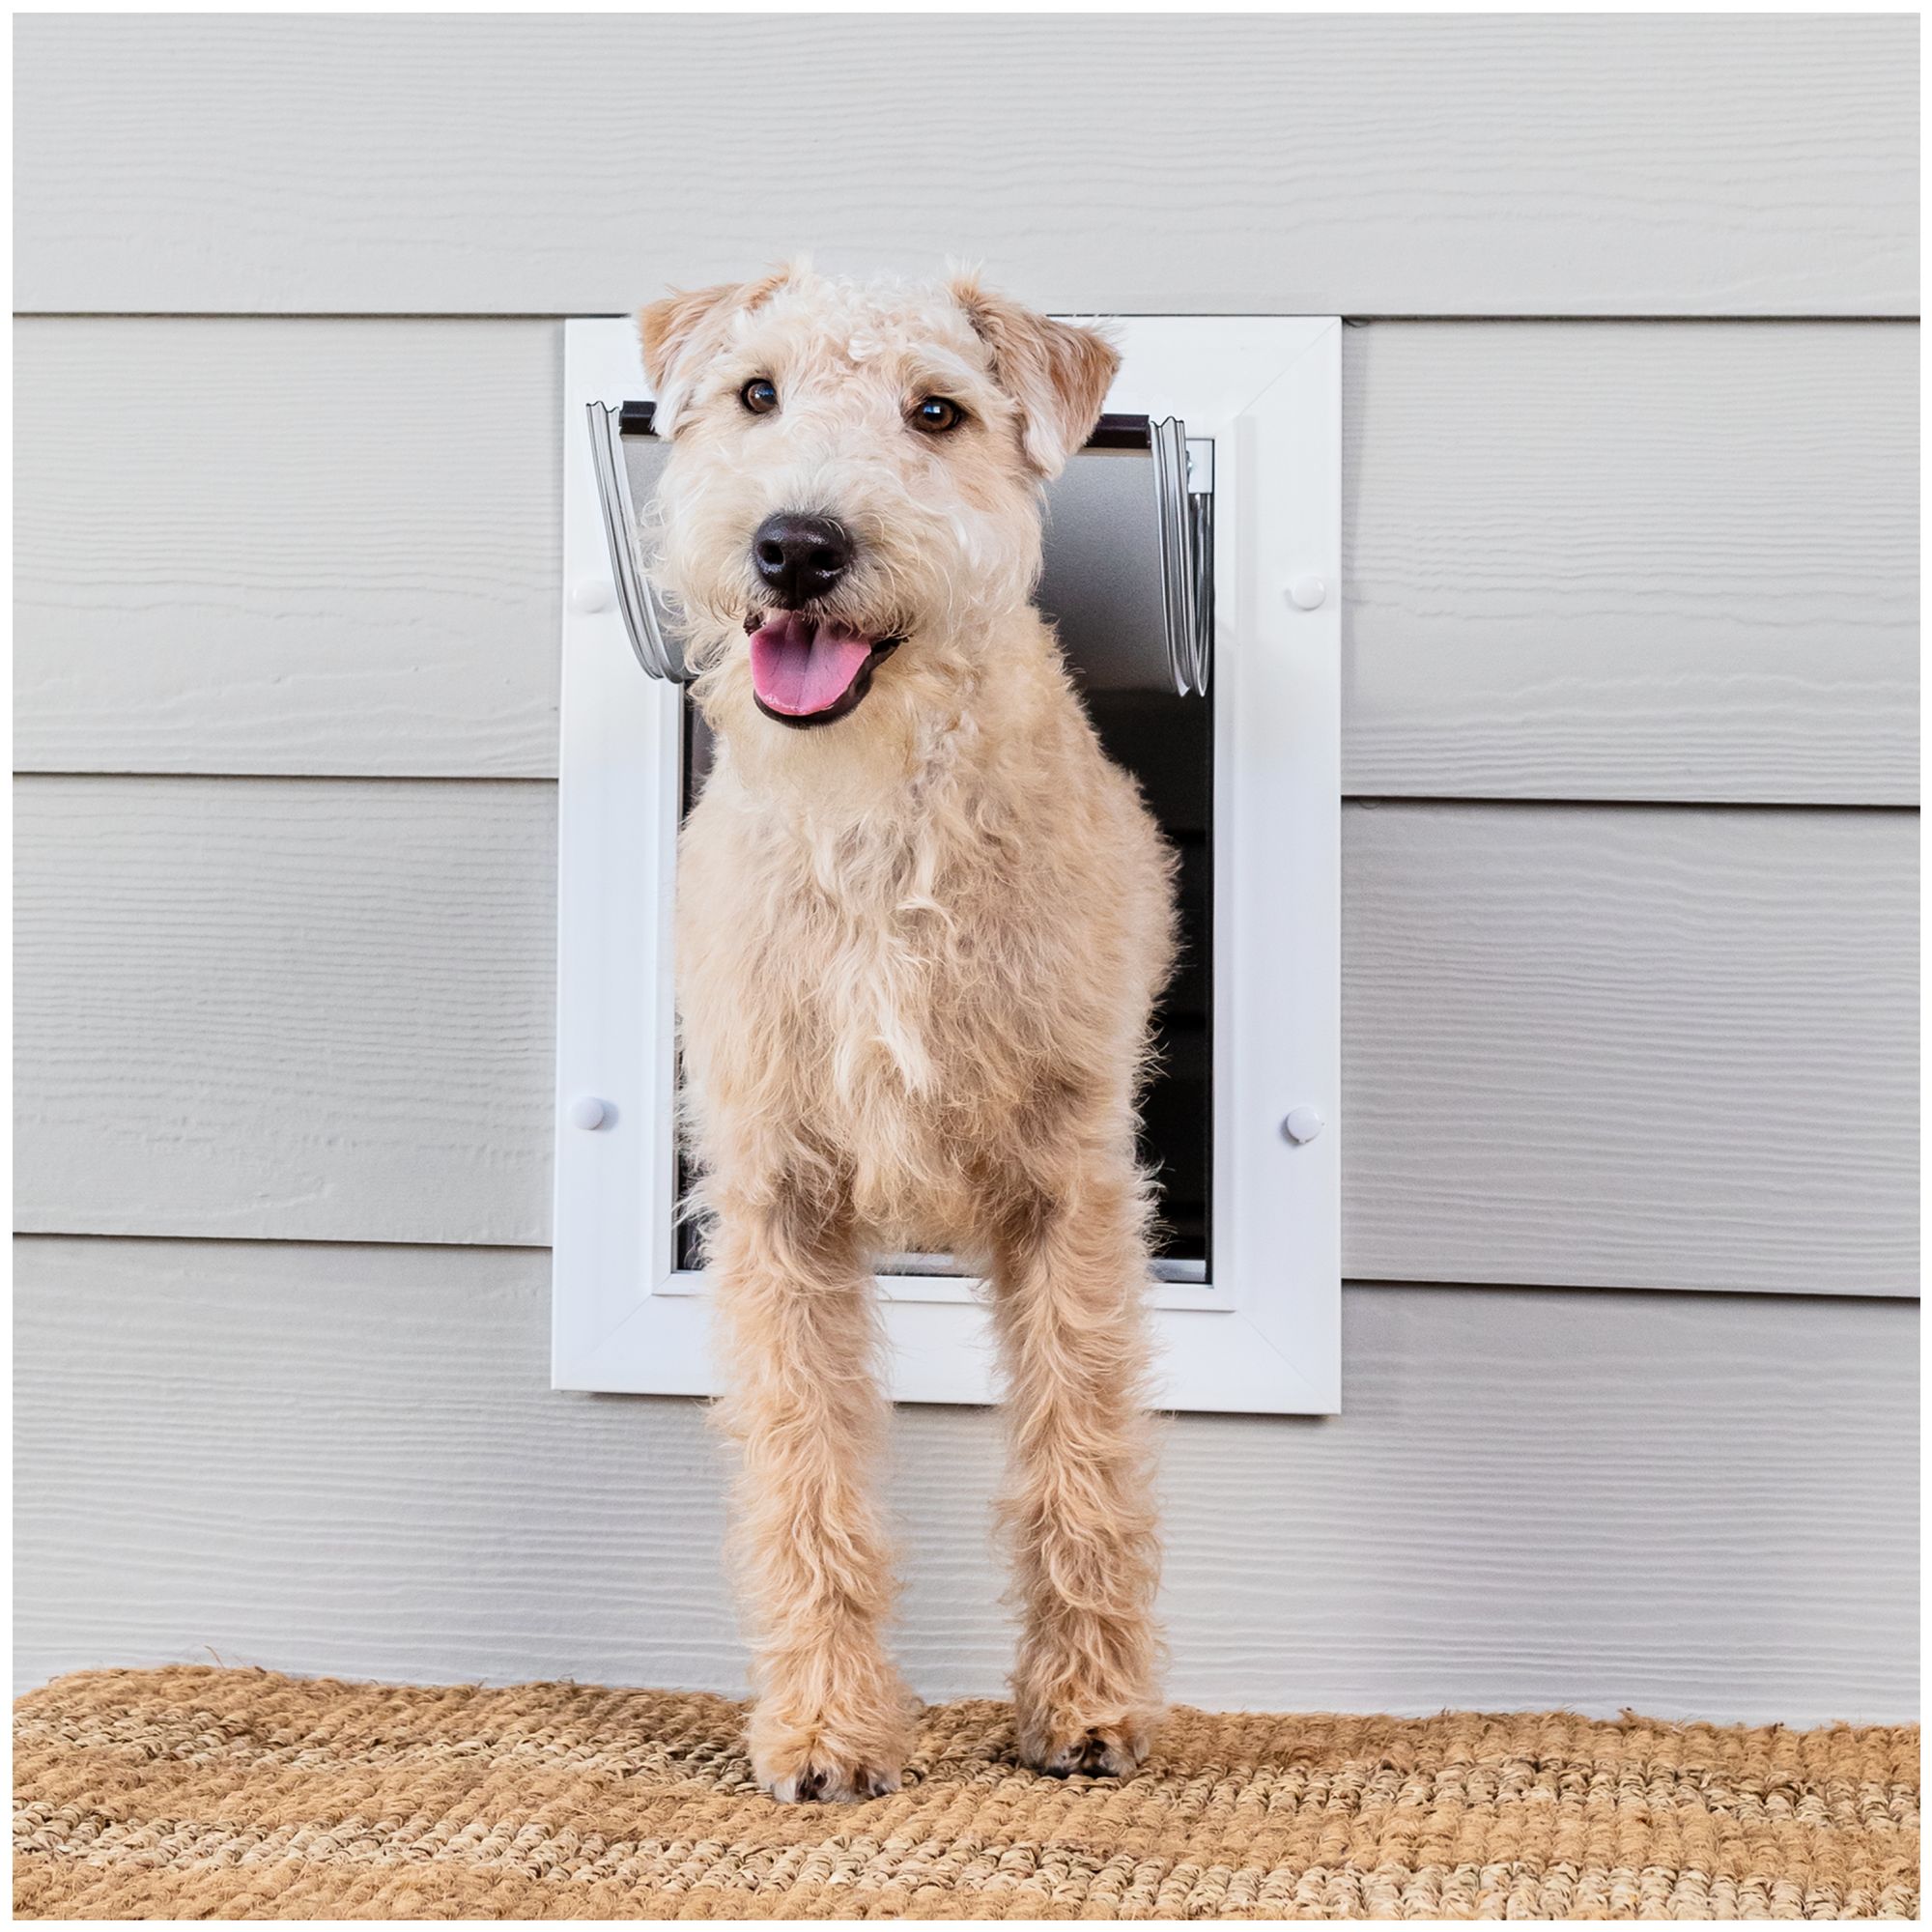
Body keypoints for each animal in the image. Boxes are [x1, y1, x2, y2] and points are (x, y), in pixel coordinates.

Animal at [638, 265, 1175, 1801]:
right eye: (754, 392)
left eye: (937, 411)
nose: (796, 547)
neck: (876, 821)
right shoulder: (781, 1193)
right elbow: (804, 1467)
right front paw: (825, 1731)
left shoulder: (1070, 1181)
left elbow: (1080, 1446)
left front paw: (1087, 1710)